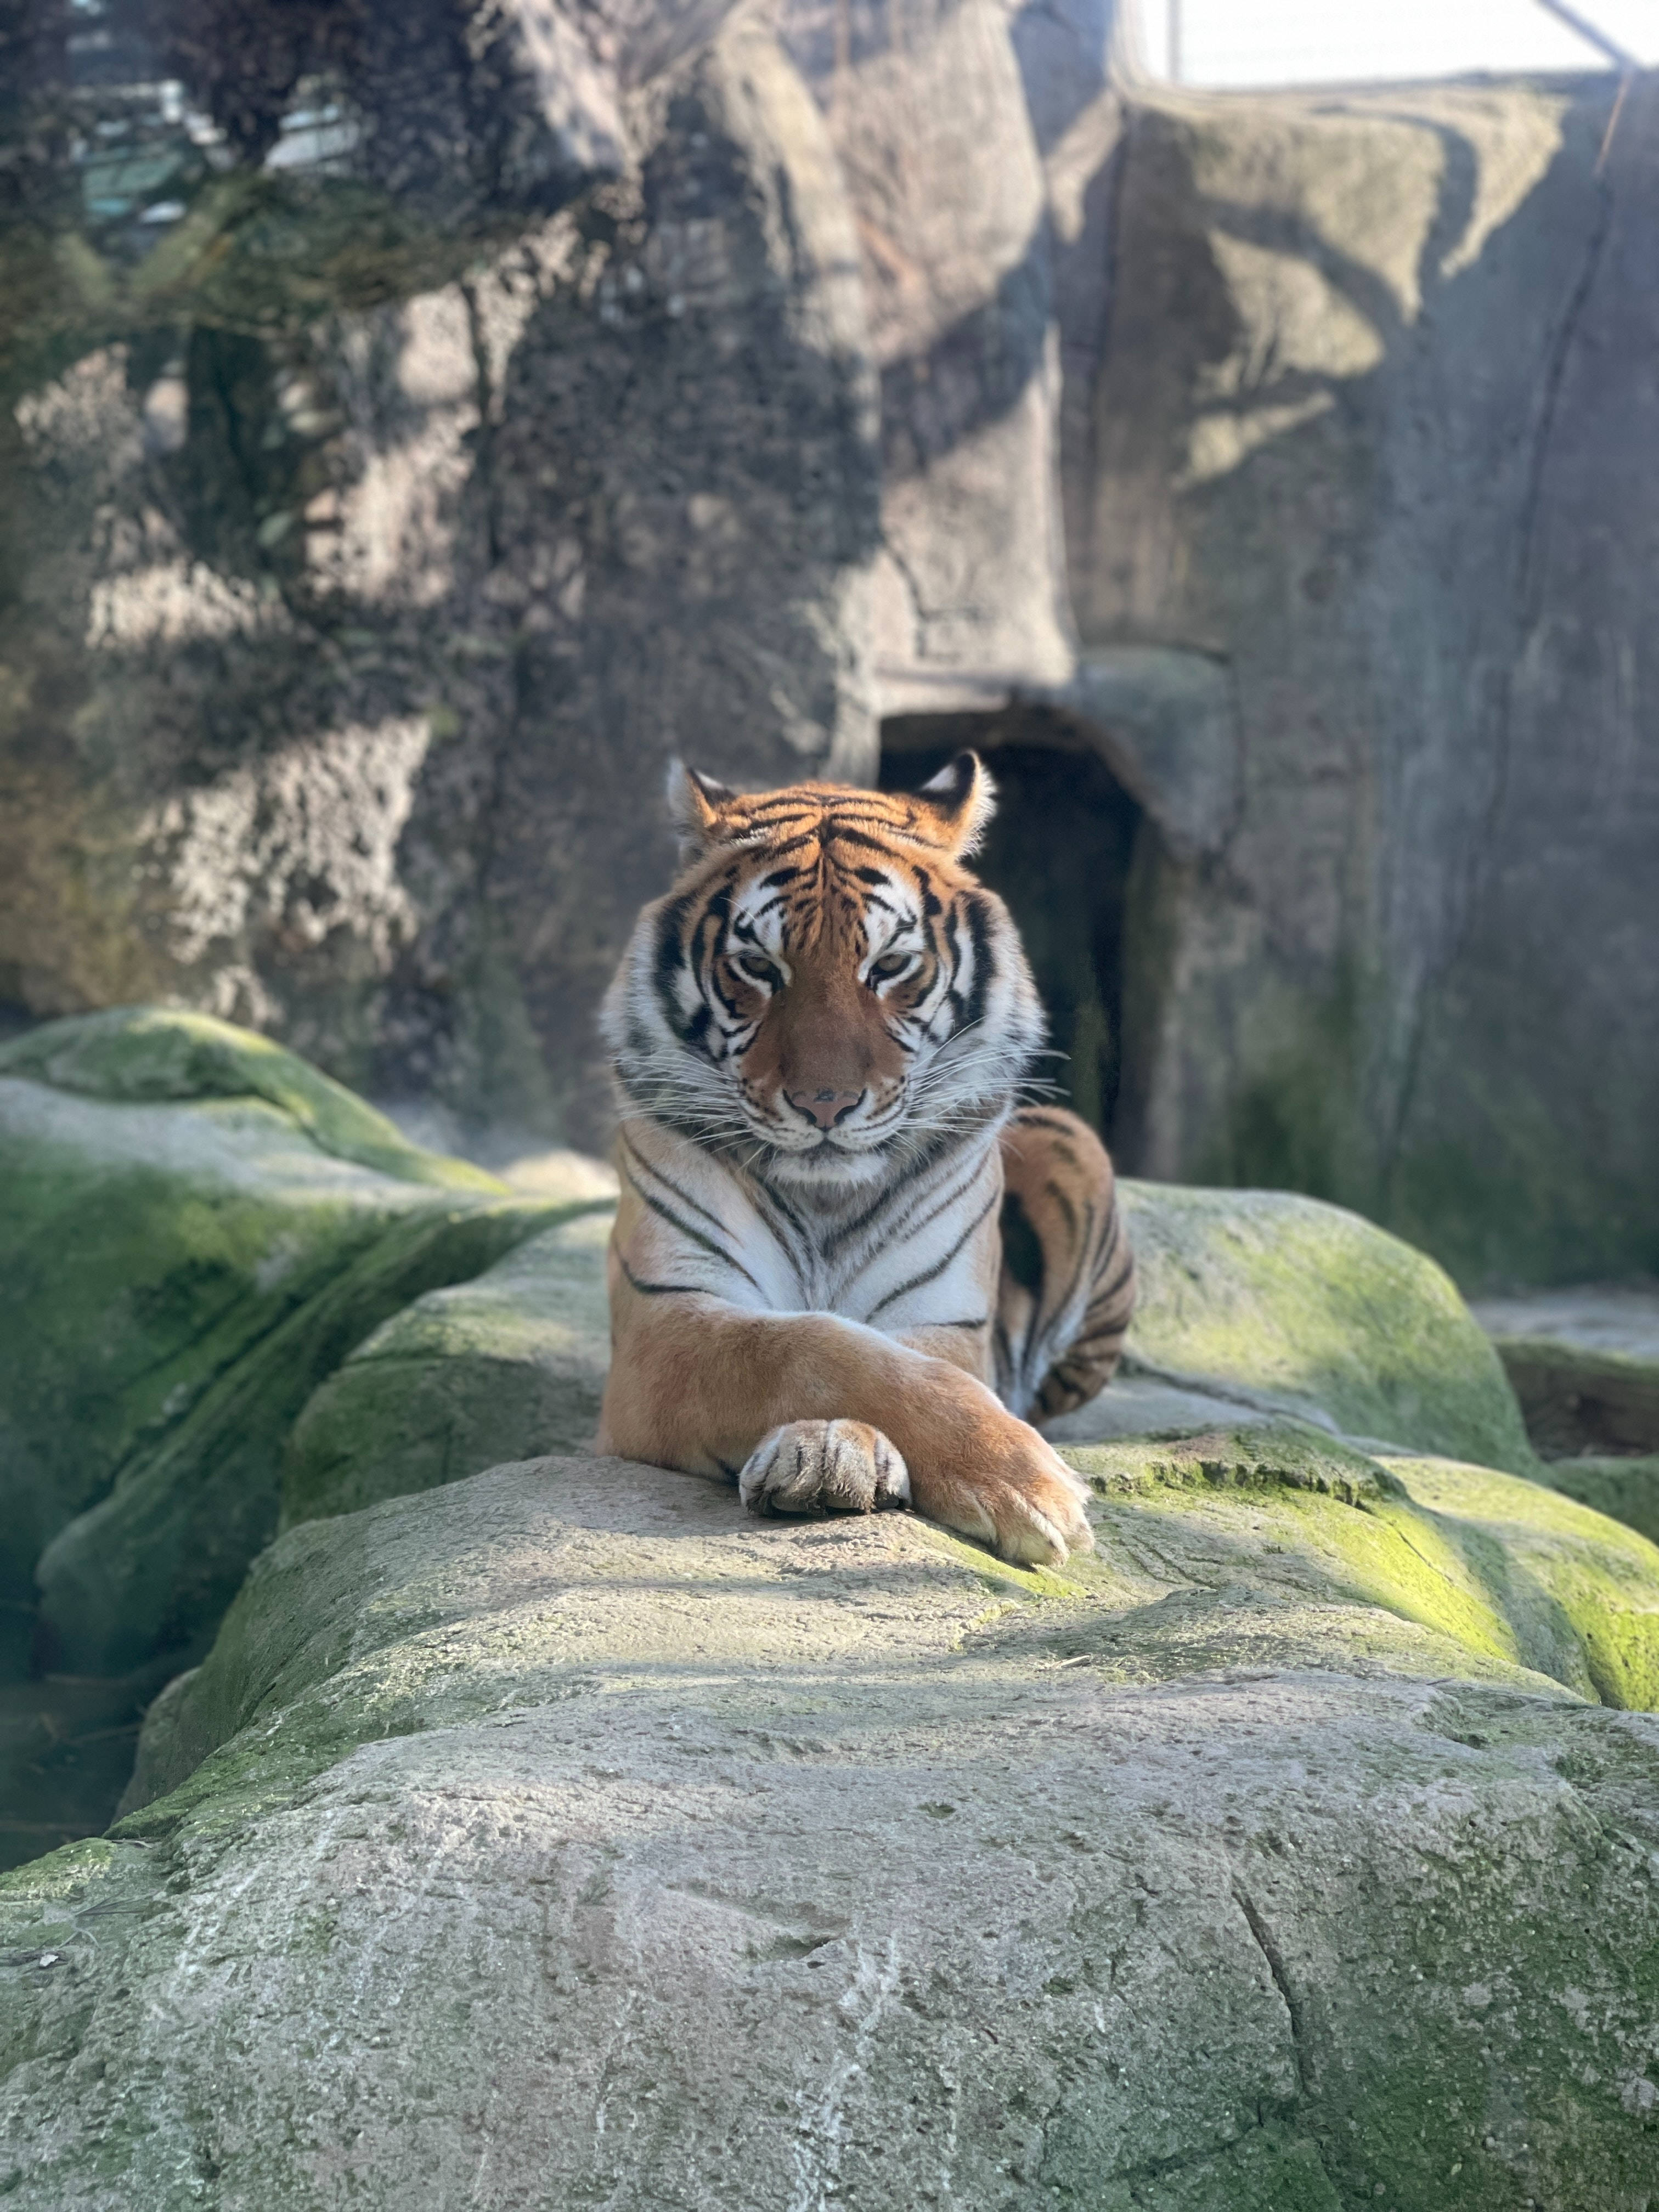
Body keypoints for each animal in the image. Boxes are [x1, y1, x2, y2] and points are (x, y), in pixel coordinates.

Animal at [595, 752, 1136, 1565]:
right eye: (758, 966)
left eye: (892, 965)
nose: (826, 1104)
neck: (826, 1200)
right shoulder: (665, 1319)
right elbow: (819, 1347)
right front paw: (1026, 1482)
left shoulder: (946, 1320)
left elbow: (898, 1366)